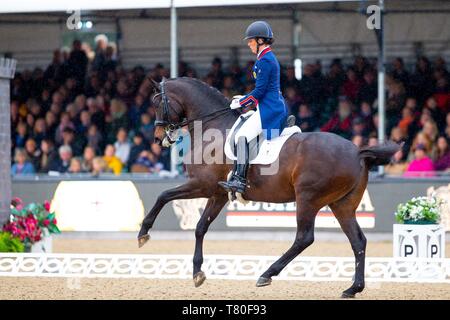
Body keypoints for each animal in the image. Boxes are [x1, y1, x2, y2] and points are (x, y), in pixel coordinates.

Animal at [138, 77, 400, 298]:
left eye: (157, 103)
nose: (158, 138)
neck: (213, 128)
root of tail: (357, 152)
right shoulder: (219, 193)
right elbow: (201, 227)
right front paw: (197, 273)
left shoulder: (202, 185)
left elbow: (163, 195)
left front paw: (143, 233)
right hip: (342, 204)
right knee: (358, 241)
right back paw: (353, 288)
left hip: (308, 198)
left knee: (304, 238)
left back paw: (266, 274)